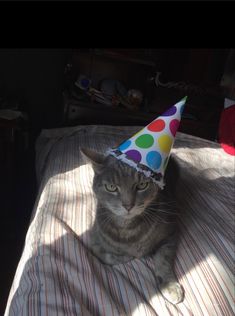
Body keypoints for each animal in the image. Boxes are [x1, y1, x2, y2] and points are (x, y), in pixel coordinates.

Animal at [81, 149, 185, 306]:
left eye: (142, 185)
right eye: (111, 187)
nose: (128, 205)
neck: (127, 228)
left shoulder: (171, 231)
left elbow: (163, 258)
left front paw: (169, 285)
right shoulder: (93, 238)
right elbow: (107, 256)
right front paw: (128, 255)